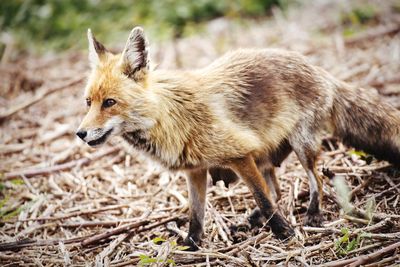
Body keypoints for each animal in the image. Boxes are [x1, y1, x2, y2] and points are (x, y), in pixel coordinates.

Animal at [76, 26, 400, 251]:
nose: (80, 133)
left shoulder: (239, 155)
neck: (170, 118)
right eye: (88, 102)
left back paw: (313, 213)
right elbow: (196, 214)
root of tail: (319, 69)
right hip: (267, 156)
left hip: (301, 146)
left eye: (110, 103)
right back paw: (255, 219)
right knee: (277, 190)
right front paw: (191, 245)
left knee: (314, 180)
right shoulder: (196, 170)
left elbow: (265, 201)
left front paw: (284, 234)